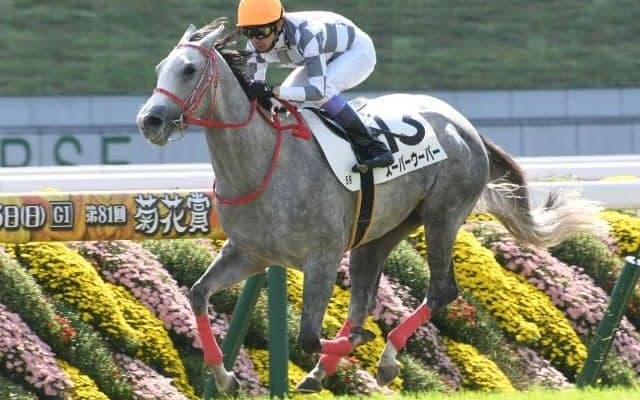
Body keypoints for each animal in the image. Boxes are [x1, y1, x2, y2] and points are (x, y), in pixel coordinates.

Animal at [136, 19, 605, 394]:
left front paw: (356, 346)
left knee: (440, 290)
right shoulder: (250, 253)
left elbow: (308, 336)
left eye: (189, 69)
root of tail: (463, 124)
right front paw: (225, 377)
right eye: (159, 69)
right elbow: (198, 295)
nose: (149, 120)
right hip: (379, 233)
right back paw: (322, 372)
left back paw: (386, 358)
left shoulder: (321, 258)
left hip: (442, 215)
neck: (263, 162)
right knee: (364, 298)